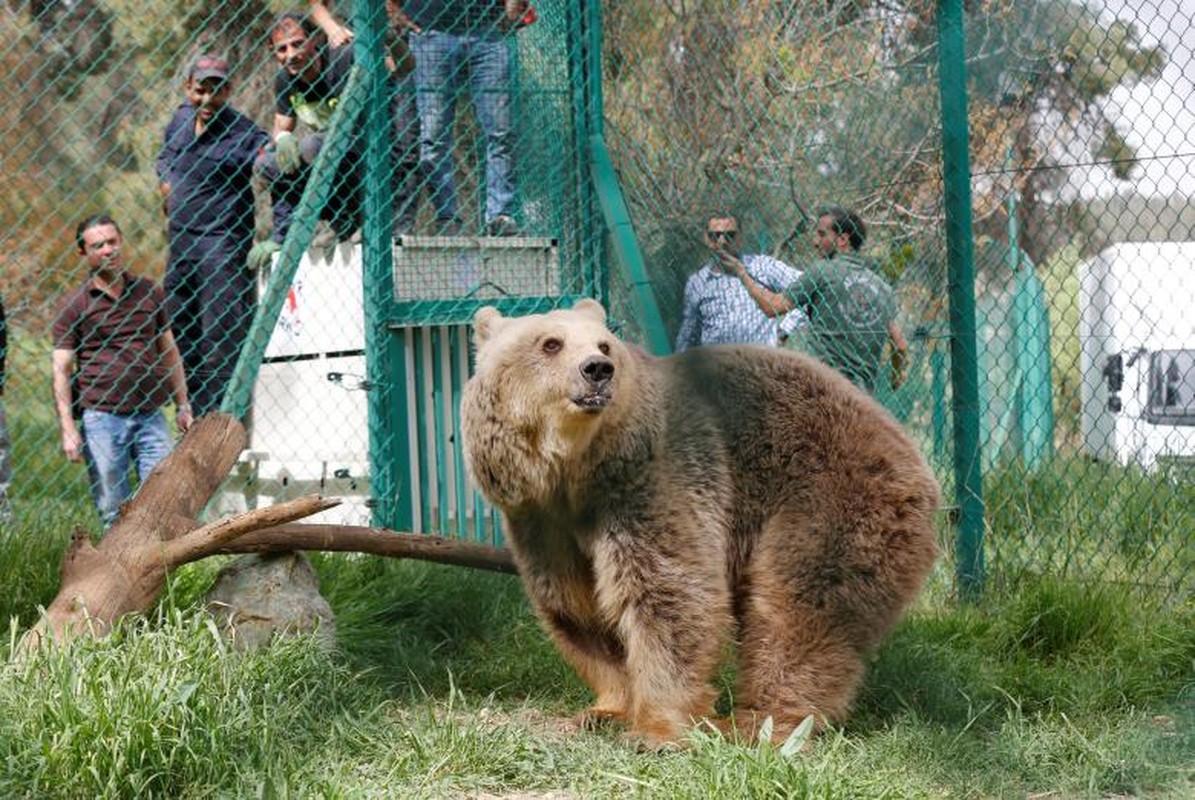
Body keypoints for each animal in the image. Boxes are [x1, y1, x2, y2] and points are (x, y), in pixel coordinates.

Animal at [461, 296, 936, 746]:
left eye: (604, 344)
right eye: (551, 343)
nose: (597, 369)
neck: (575, 471)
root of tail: (905, 444)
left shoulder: (649, 486)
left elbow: (669, 596)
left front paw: (659, 730)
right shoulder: (542, 521)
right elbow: (579, 609)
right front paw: (605, 710)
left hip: (829, 496)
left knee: (798, 610)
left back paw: (760, 721)